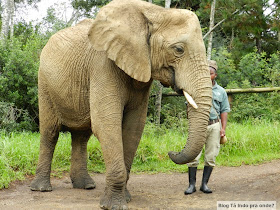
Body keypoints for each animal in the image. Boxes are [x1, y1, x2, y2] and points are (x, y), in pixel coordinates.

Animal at [30, 0, 212, 208]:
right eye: (179, 49)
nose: (171, 151)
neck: (155, 12)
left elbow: (133, 127)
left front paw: (126, 198)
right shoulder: (103, 65)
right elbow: (107, 125)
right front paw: (113, 205)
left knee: (81, 136)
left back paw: (86, 186)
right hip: (44, 81)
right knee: (50, 132)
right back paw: (41, 188)